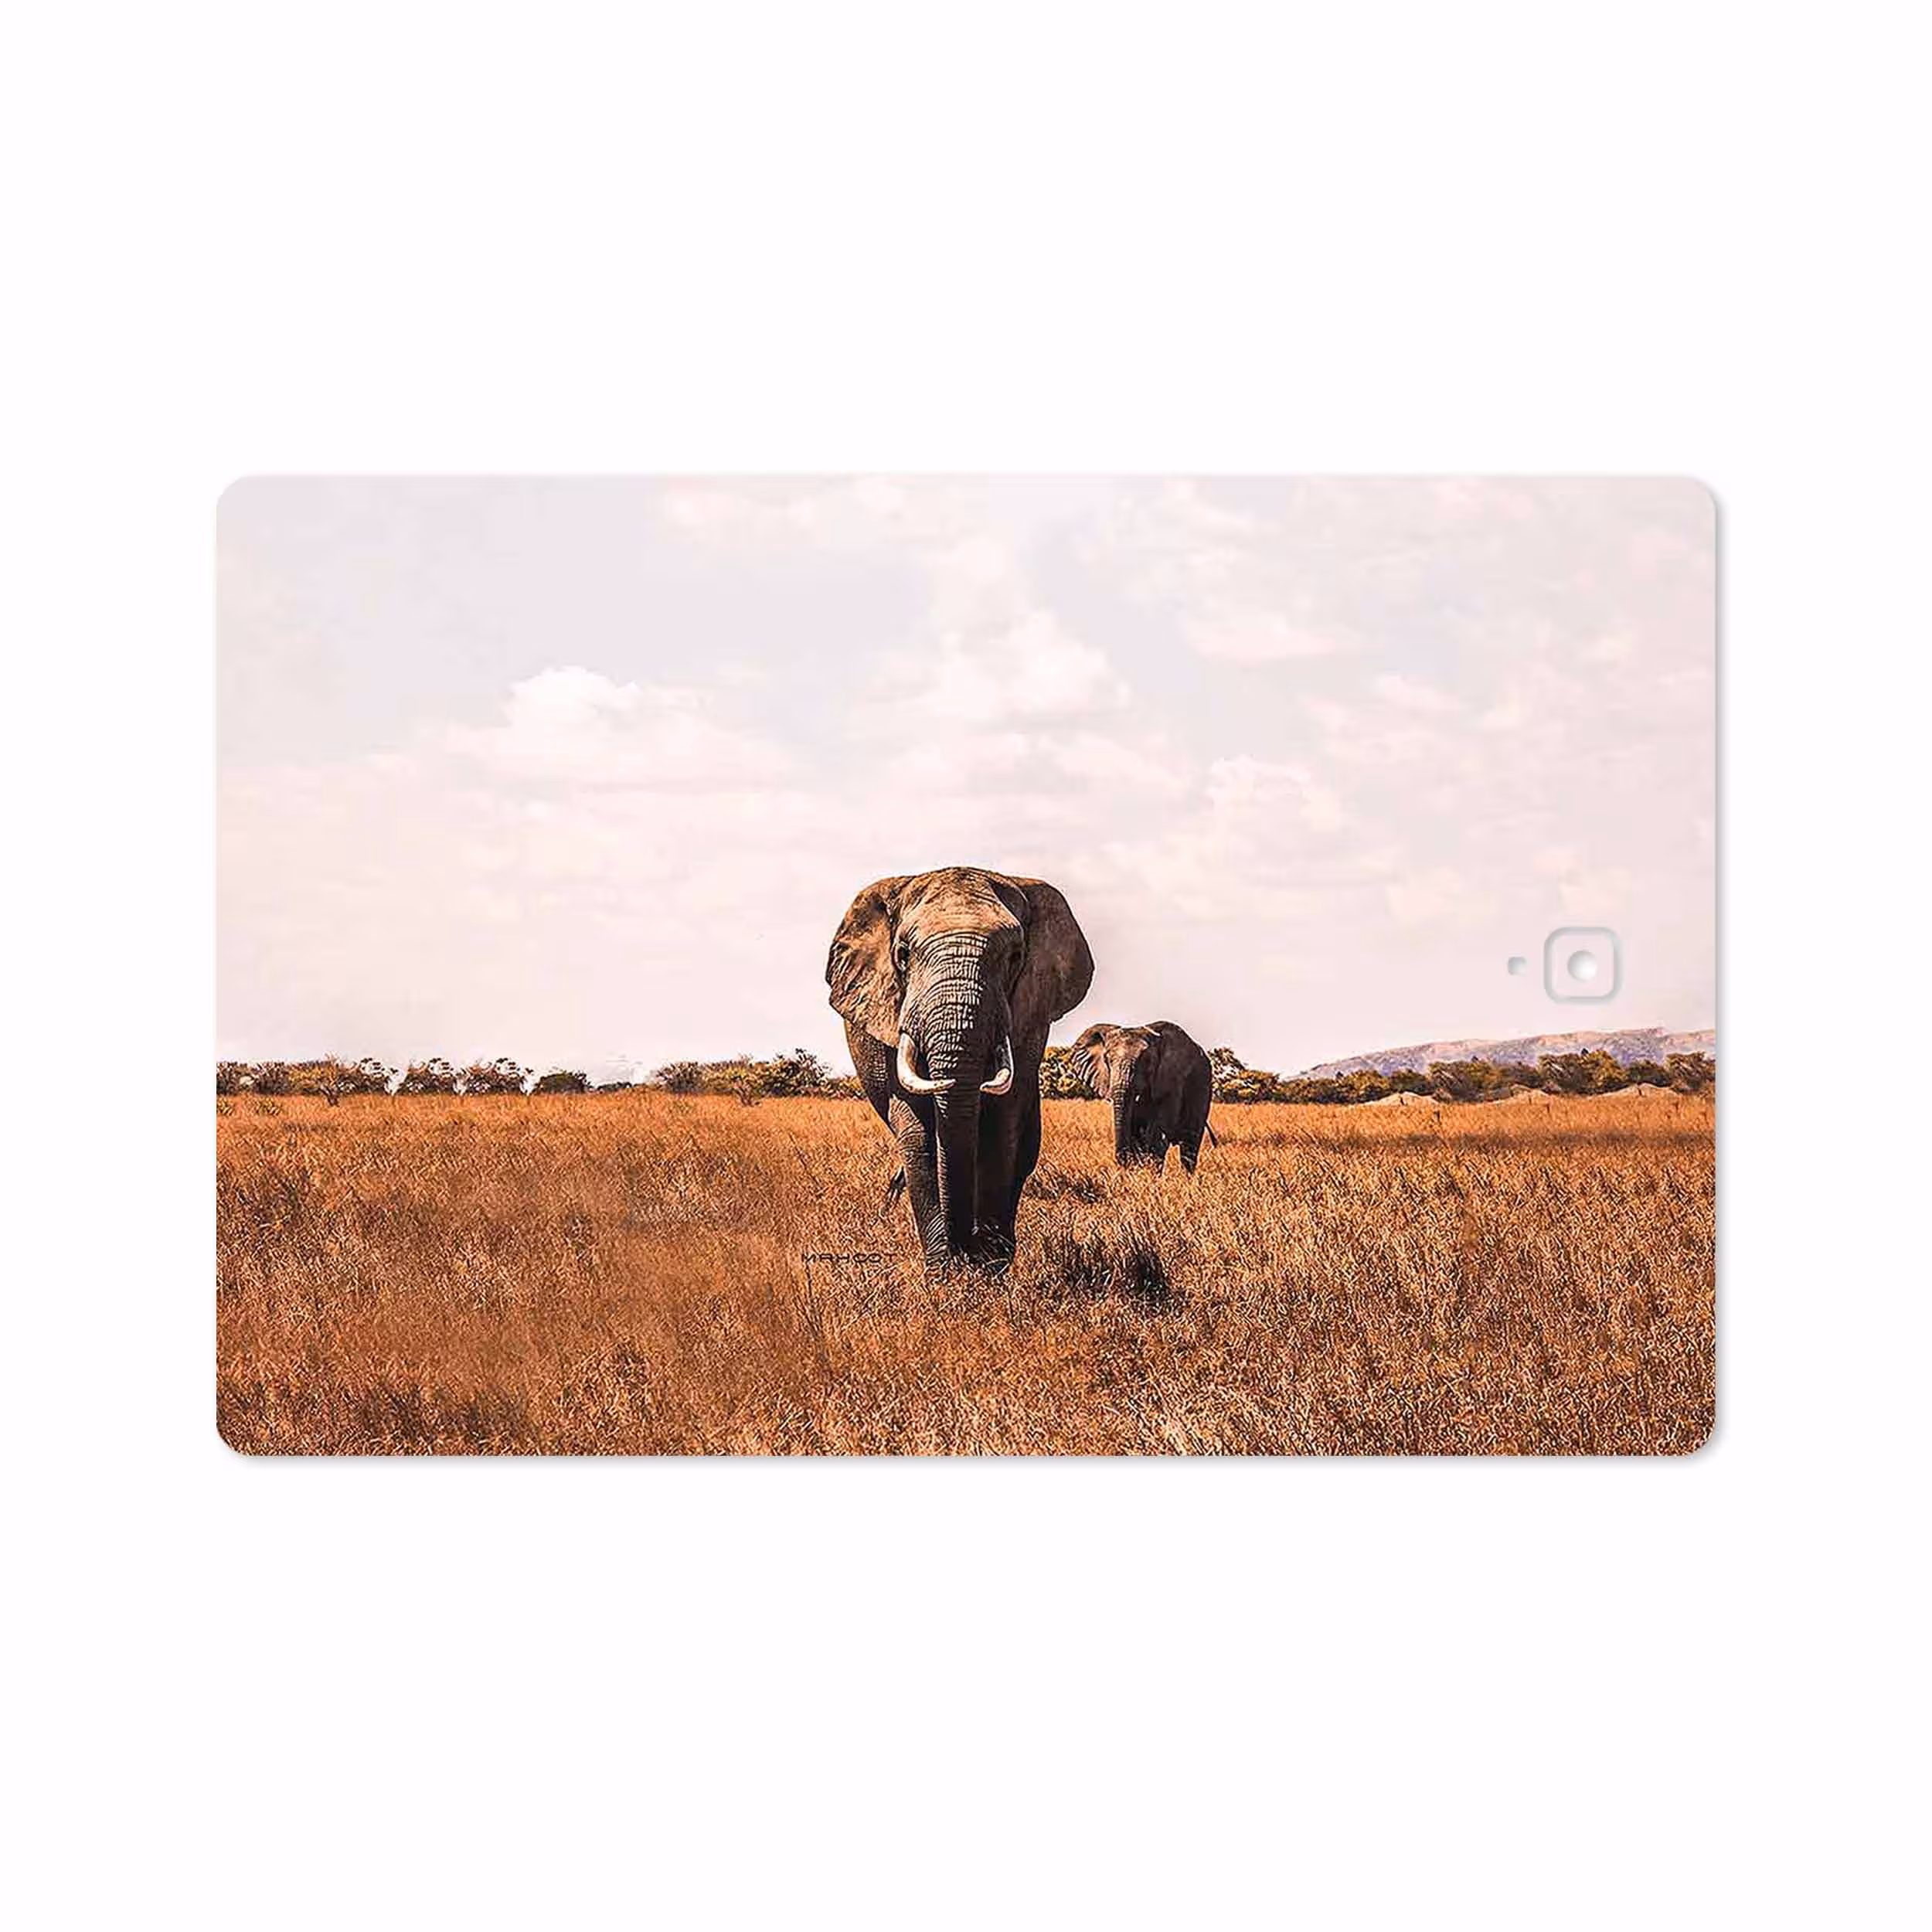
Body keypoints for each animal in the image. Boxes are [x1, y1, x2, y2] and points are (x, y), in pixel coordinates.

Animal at [827, 866, 1094, 1269]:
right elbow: (918, 1132)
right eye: (903, 955)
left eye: (1015, 956)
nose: (965, 1248)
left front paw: (989, 1267)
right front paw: (945, 1273)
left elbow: (1003, 1124)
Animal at [1071, 1020, 1216, 1172]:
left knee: (1189, 1144)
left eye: (1146, 1060)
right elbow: (1135, 1133)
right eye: (1106, 1060)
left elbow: (1157, 1134)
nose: (1123, 1163)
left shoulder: (1172, 1080)